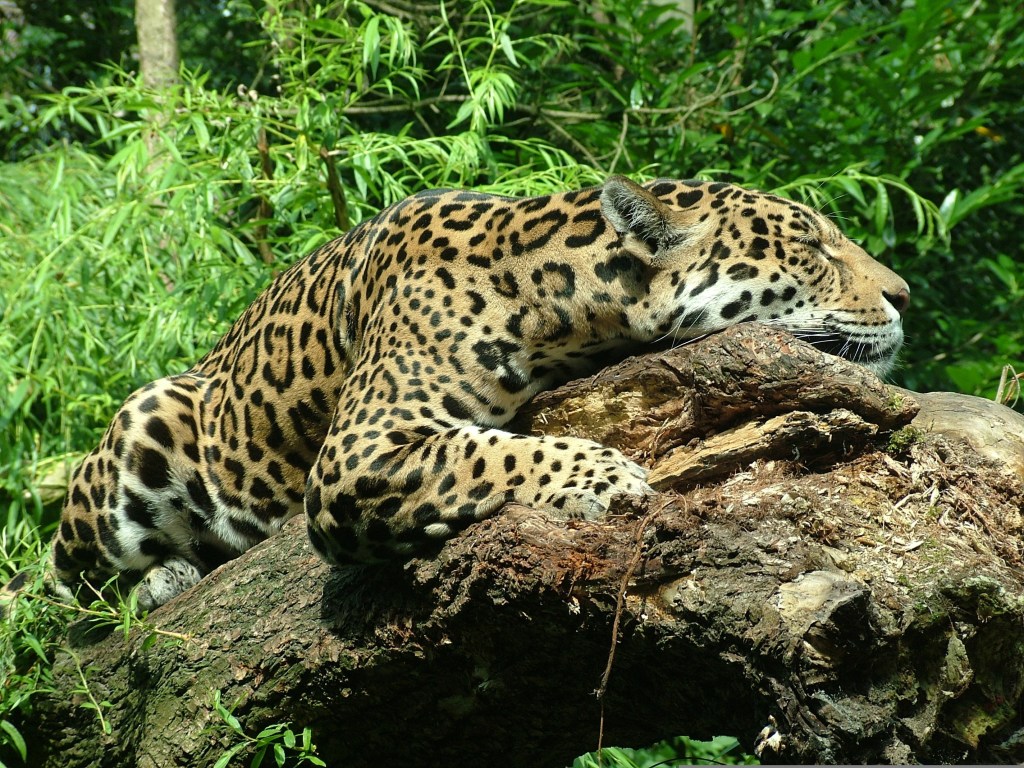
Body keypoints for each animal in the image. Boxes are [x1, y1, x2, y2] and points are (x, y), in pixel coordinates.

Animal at [8, 175, 910, 613]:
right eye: (810, 246)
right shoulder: (357, 452)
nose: (903, 294)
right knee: (57, 592)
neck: (560, 295)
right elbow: (482, 454)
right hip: (141, 434)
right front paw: (605, 475)